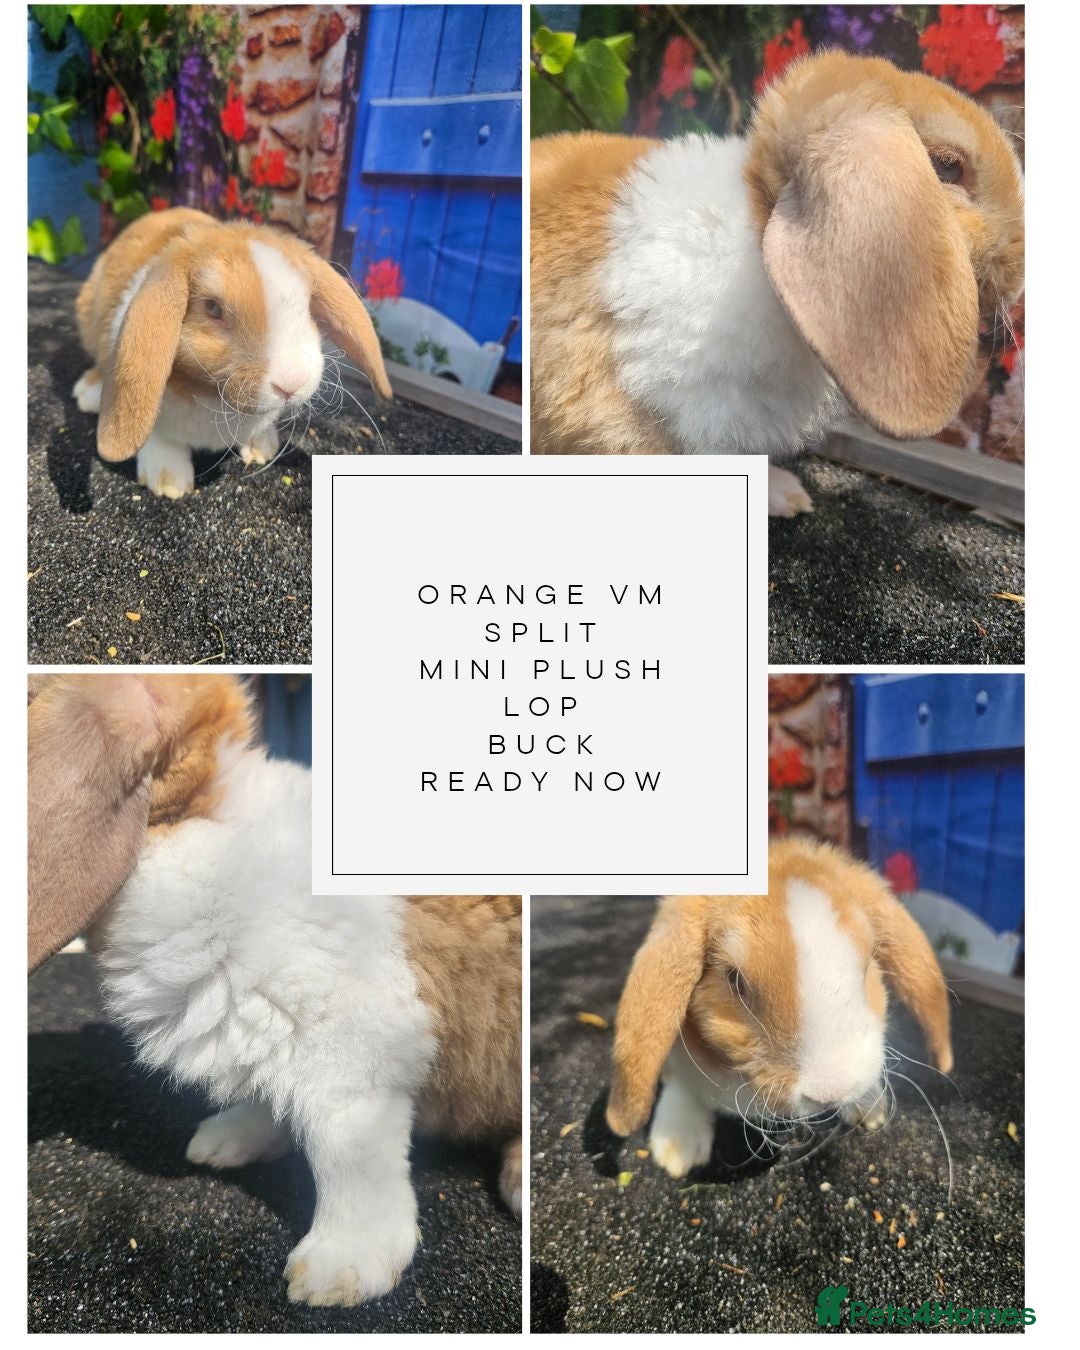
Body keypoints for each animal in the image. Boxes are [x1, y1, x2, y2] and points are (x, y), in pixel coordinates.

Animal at [72, 208, 392, 498]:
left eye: (305, 303)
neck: (214, 398)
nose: (292, 382)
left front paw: (263, 448)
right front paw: (168, 481)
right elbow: (159, 436)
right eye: (213, 308)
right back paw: (88, 395)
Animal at [605, 837, 953, 1178]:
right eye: (735, 979)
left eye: (868, 961)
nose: (831, 1090)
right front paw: (676, 1149)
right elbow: (682, 1087)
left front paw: (870, 1108)